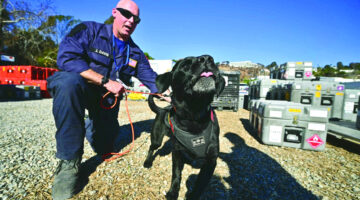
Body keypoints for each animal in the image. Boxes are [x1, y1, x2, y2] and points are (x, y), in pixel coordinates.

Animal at [144, 55, 225, 200]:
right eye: (185, 65)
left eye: (213, 61)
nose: (207, 58)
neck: (193, 117)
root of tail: (161, 110)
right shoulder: (177, 153)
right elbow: (176, 174)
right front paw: (172, 192)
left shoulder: (211, 160)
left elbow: (200, 183)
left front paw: (192, 195)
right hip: (157, 138)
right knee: (151, 148)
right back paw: (147, 162)